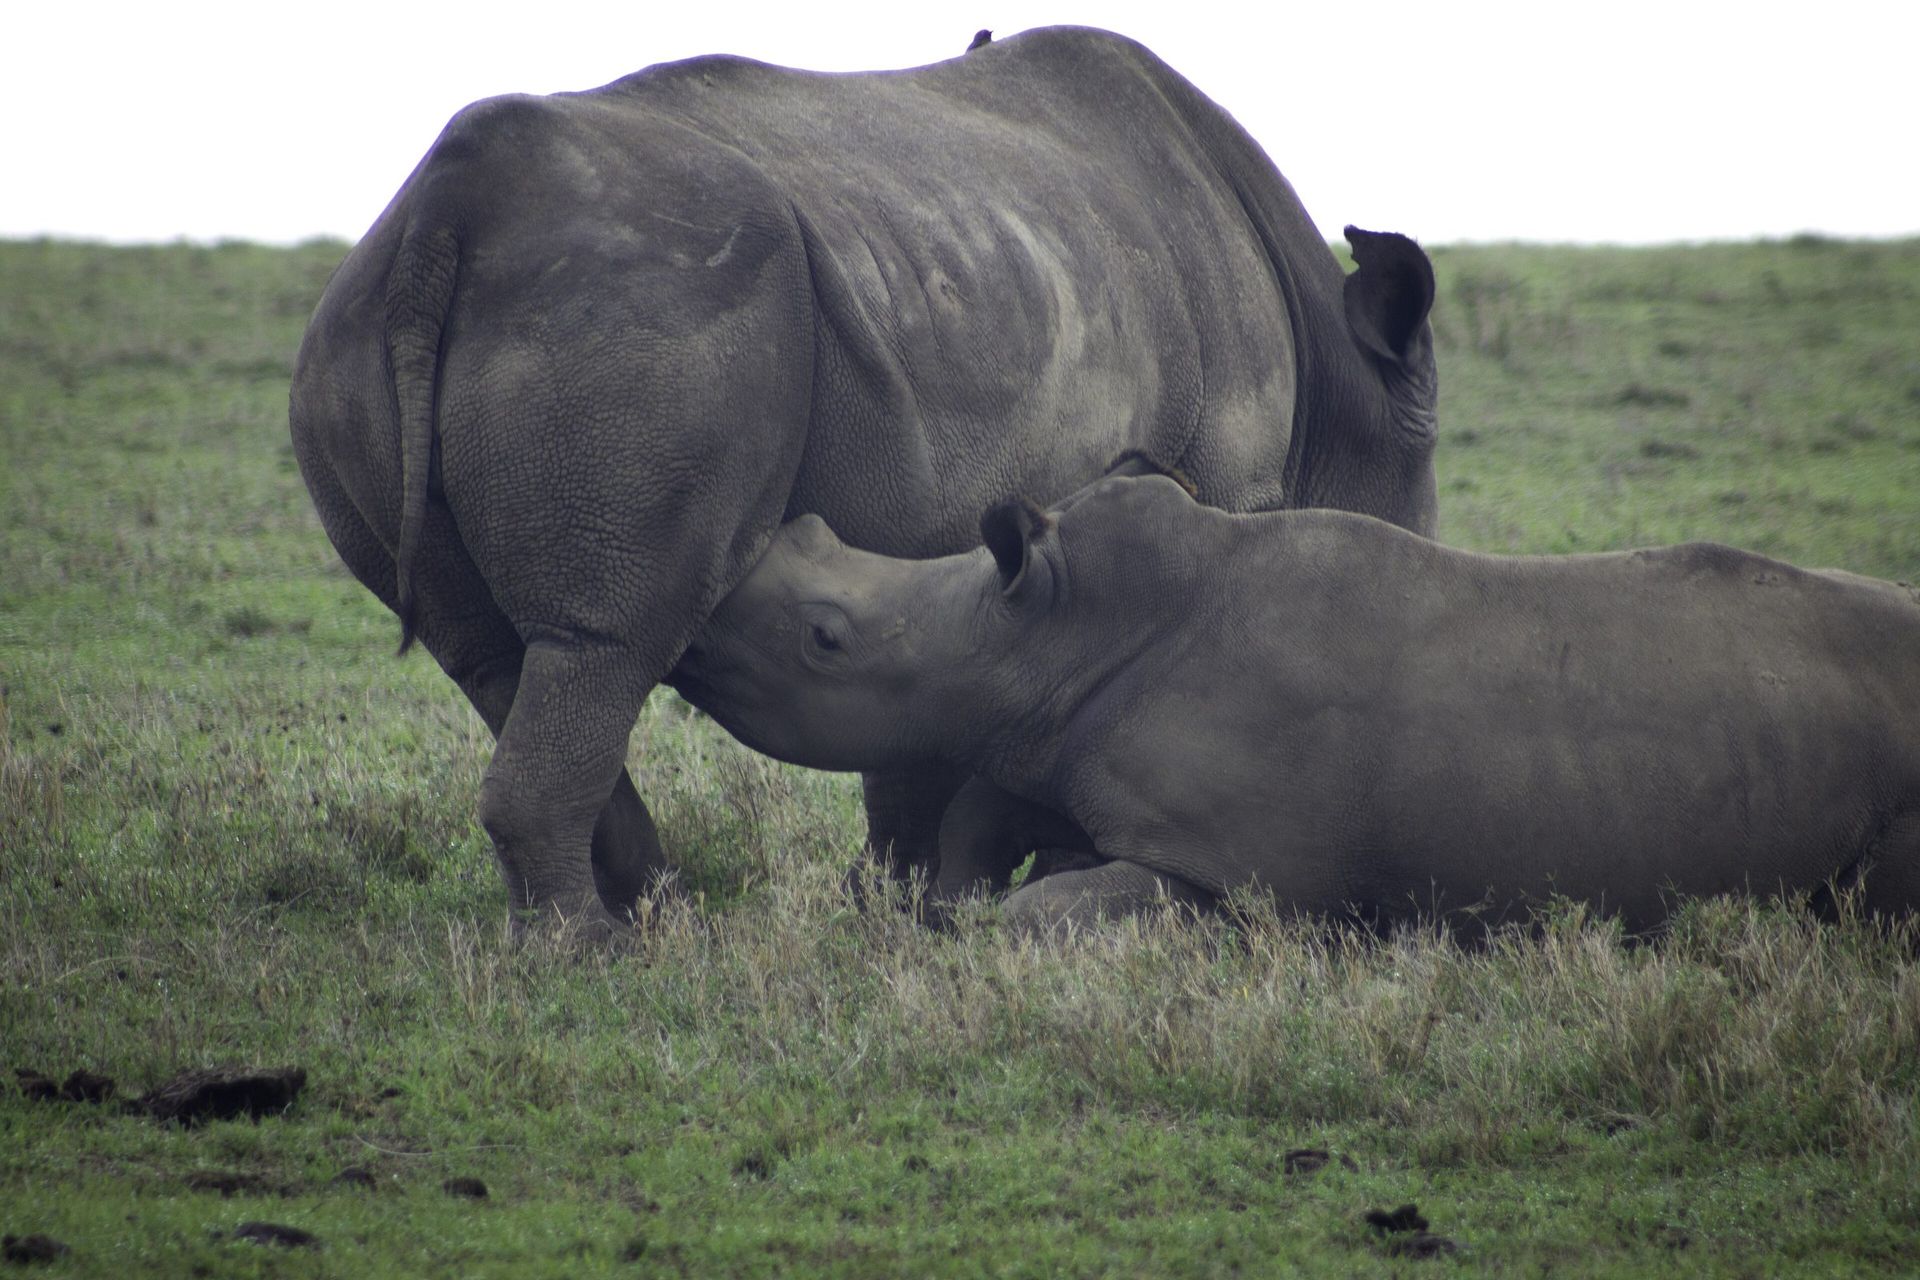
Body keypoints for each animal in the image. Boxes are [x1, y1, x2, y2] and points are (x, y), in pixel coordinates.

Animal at [289, 27, 1442, 929]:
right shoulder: (1215, 486)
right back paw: (598, 953)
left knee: (498, 657)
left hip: (363, 340)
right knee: (609, 638)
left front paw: (898, 901)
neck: (1345, 382)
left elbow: (911, 719)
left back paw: (662, 921)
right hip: (635, 324)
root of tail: (445, 215)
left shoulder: (947, 543)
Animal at [673, 461, 1920, 934]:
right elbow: (982, 826)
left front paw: (970, 918)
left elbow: (1043, 905)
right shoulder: (1049, 737)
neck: (1035, 634)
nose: (691, 631)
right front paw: (945, 896)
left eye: (825, 639)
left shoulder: (1237, 873)